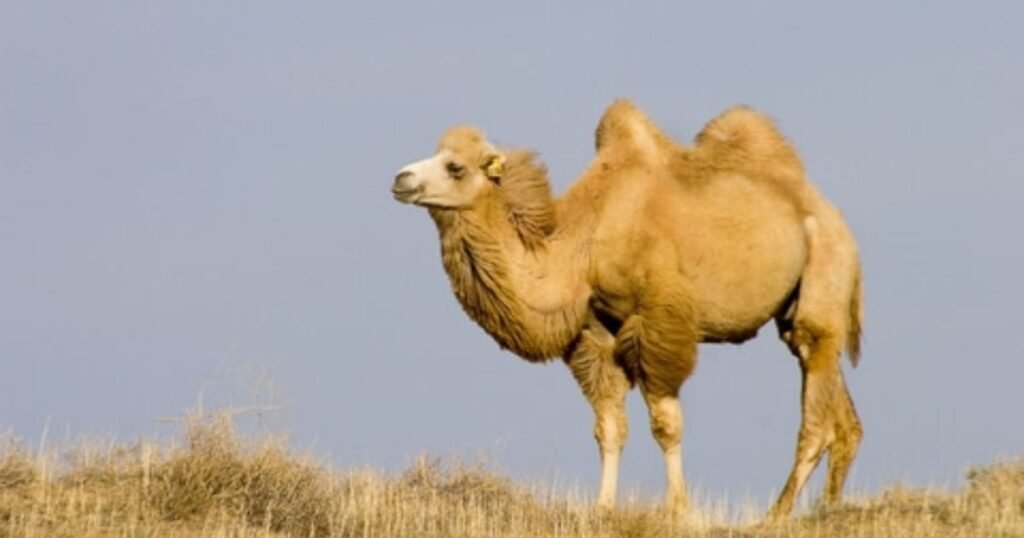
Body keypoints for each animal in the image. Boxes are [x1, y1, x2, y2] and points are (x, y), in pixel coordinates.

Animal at [390, 99, 863, 519]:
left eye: (455, 167)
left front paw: (678, 510)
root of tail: (831, 214)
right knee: (838, 408)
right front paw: (603, 508)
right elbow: (609, 428)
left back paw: (776, 515)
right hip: (797, 311)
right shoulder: (596, 330)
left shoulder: (658, 319)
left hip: (824, 268)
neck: (585, 241)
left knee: (817, 413)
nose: (400, 178)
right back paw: (827, 507)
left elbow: (666, 424)